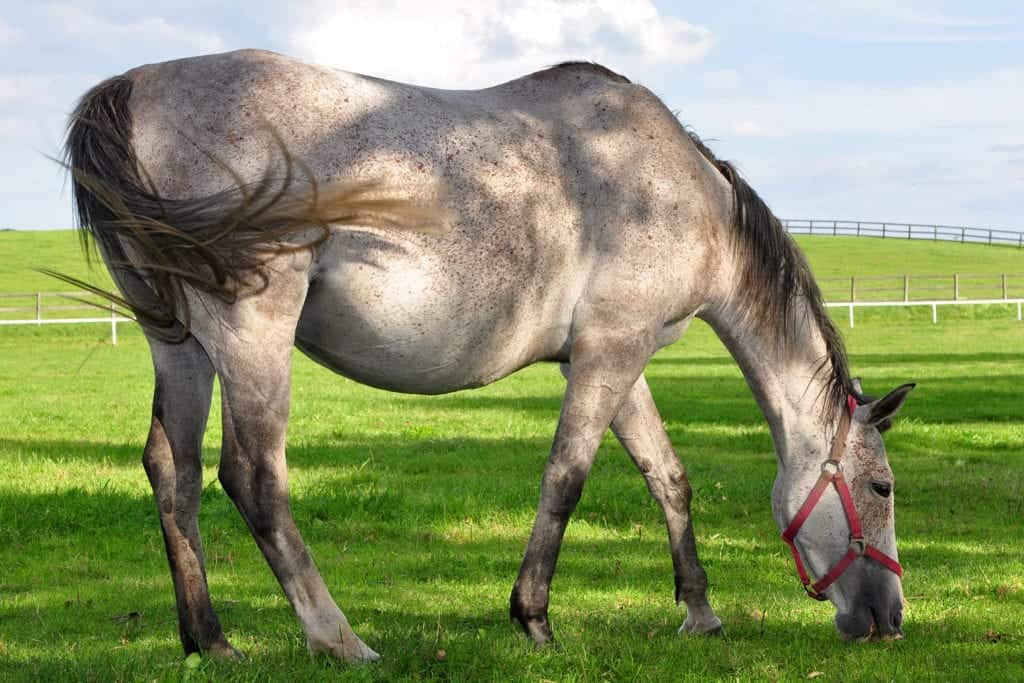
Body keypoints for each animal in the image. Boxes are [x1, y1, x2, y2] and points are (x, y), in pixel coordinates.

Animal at [60, 49, 914, 662]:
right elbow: (567, 478)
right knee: (253, 478)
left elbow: (667, 477)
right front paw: (533, 617)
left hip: (178, 343)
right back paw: (339, 638)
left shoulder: (608, 355)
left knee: (173, 472)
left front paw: (699, 611)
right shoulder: (612, 351)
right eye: (881, 486)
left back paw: (210, 639)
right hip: (252, 335)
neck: (675, 187)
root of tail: (133, 88)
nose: (891, 617)